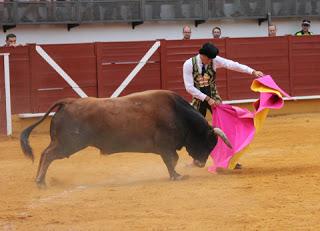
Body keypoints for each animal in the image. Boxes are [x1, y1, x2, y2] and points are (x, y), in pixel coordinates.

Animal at [19, 89, 230, 187]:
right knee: (48, 155)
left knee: (45, 154)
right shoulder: (166, 147)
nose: (201, 164)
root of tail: (68, 102)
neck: (178, 114)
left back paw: (40, 180)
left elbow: (171, 161)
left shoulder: (165, 148)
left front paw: (176, 175)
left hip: (63, 143)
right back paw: (40, 182)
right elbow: (172, 160)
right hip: (68, 144)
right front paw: (177, 176)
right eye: (209, 143)